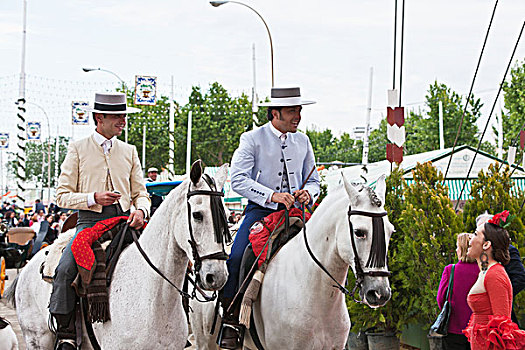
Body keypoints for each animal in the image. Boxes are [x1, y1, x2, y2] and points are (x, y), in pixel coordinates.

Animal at [7, 163, 229, 348]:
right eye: (197, 215)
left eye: (225, 216)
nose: (217, 276)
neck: (155, 299)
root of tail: (28, 266)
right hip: (38, 339)